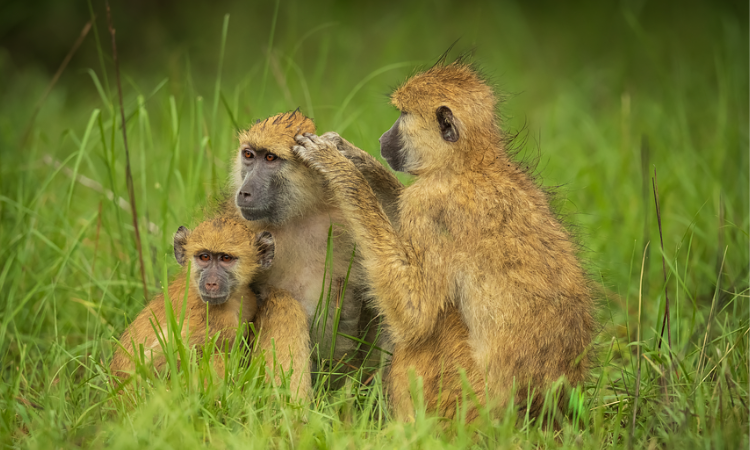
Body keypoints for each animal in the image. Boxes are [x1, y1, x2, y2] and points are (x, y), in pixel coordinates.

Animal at [292, 60, 596, 421]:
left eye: (402, 115)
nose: (383, 139)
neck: (468, 163)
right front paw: (354, 156)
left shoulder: (429, 209)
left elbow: (415, 313)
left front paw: (341, 170)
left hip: (465, 397)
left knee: (434, 327)